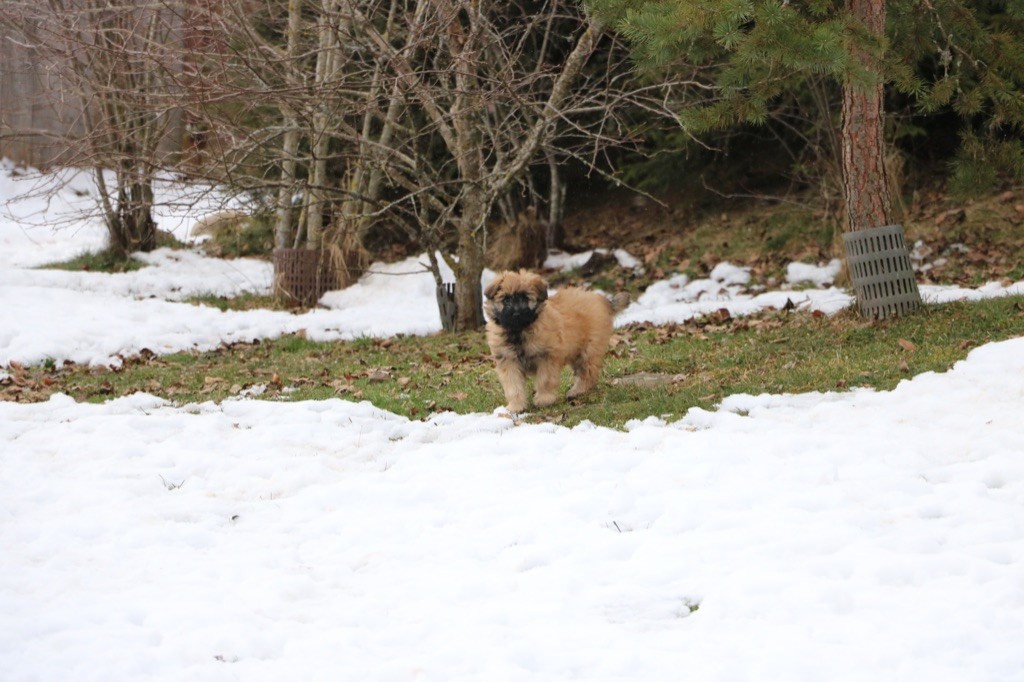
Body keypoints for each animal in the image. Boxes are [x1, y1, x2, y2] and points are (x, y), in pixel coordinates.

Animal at [484, 270, 630, 413]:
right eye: (506, 299)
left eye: (525, 298)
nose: (516, 314)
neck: (519, 331)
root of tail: (603, 300)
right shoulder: (508, 361)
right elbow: (513, 386)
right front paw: (516, 406)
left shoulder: (546, 357)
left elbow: (545, 380)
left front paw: (544, 399)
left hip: (588, 350)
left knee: (588, 373)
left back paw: (576, 391)